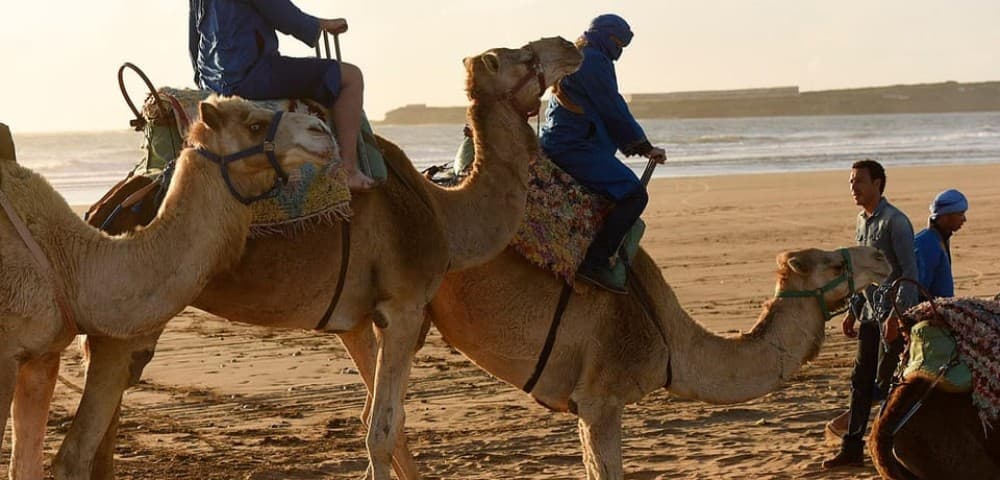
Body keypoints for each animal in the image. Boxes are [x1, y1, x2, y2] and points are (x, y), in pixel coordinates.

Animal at [0, 96, 334, 479]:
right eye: (254, 125)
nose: (322, 131)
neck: (70, 261)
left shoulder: (42, 355)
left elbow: (25, 465)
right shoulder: (5, 355)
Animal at [50, 37, 583, 480]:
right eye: (519, 55)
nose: (568, 45)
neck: (442, 213)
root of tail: (102, 211)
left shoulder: (357, 319)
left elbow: (384, 423)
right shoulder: (404, 306)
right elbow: (383, 427)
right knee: (79, 446)